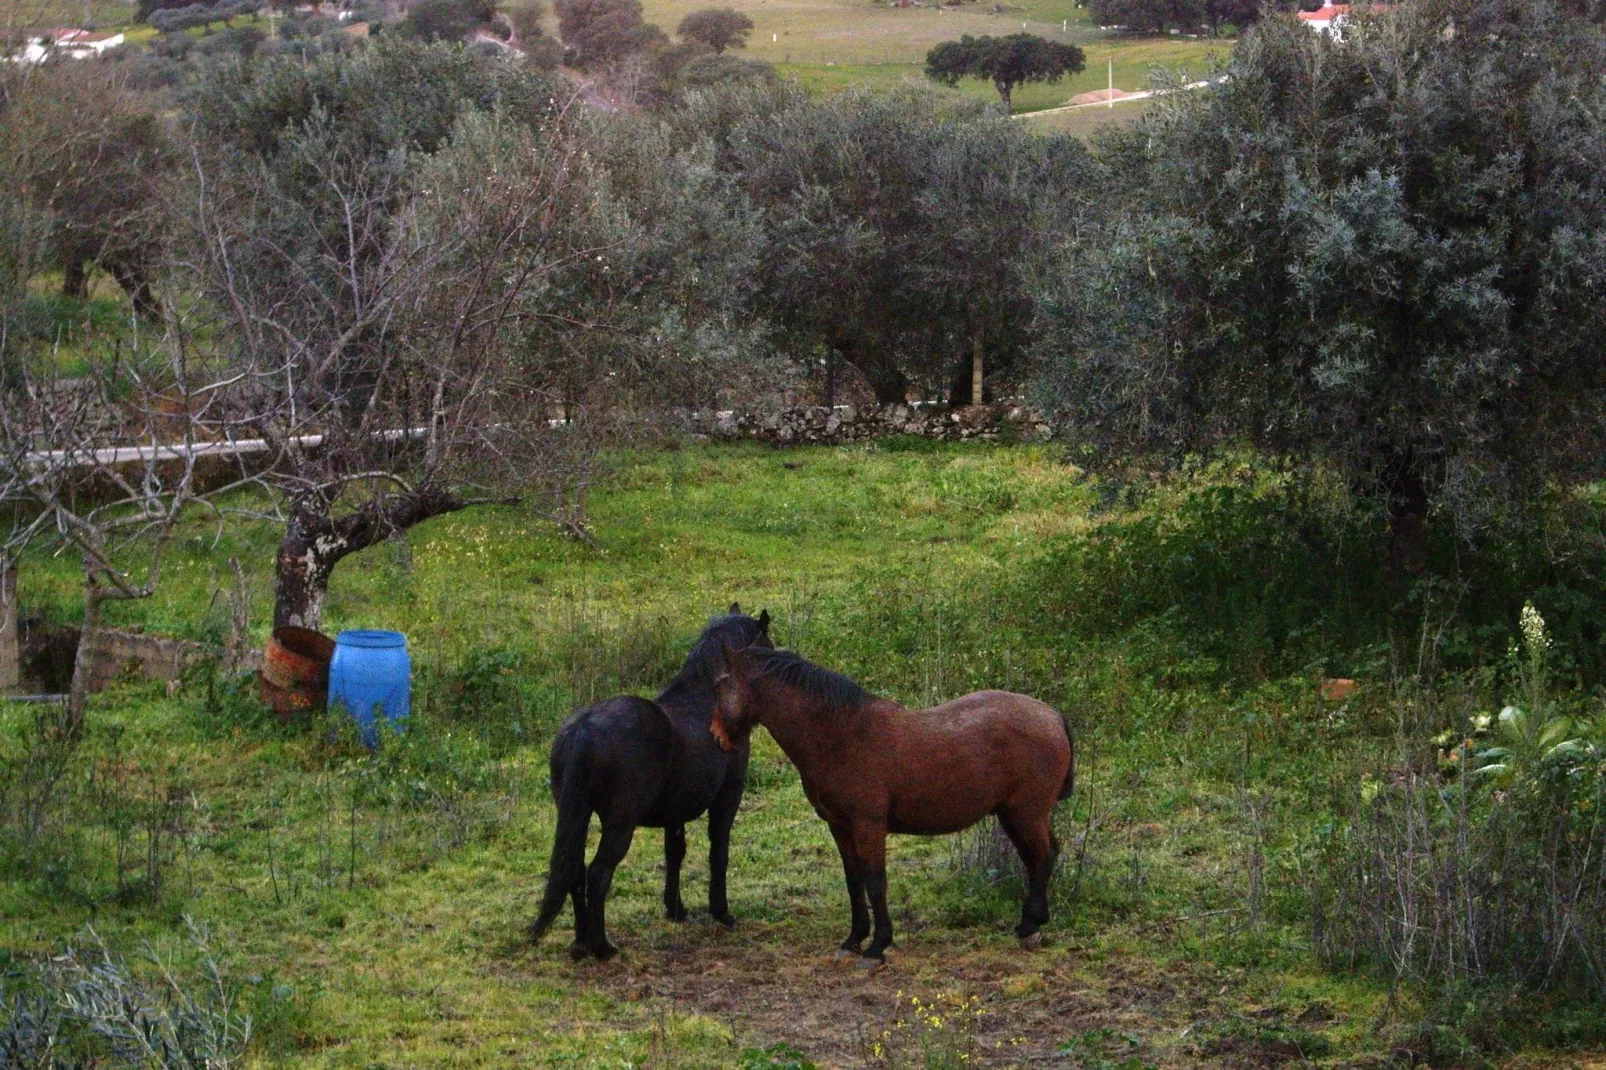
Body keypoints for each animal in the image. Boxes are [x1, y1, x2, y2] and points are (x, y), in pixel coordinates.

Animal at [529, 600, 774, 957]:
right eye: (768, 648)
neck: (706, 700)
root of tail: (583, 730)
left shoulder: (675, 811)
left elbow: (675, 853)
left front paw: (676, 909)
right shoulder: (727, 797)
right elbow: (719, 851)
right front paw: (721, 912)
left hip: (576, 814)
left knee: (574, 871)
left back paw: (581, 942)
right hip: (619, 822)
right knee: (597, 874)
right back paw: (602, 947)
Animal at [713, 642, 1066, 963]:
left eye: (719, 684)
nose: (717, 736)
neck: (841, 736)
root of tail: (1054, 716)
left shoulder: (868, 826)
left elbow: (875, 883)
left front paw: (877, 946)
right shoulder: (840, 826)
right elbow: (854, 881)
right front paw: (853, 940)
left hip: (1026, 814)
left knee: (1044, 855)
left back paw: (1029, 927)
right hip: (1015, 815)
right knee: (1039, 858)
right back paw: (1035, 920)